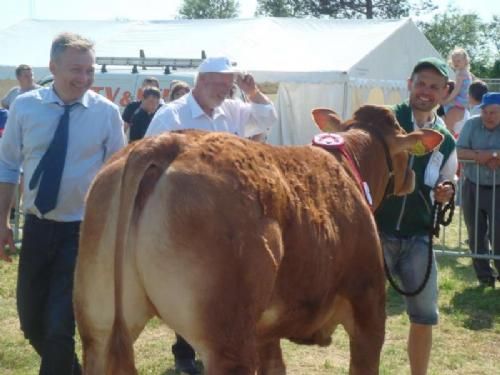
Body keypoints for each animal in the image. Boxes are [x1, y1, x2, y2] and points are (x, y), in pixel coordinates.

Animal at [73, 104, 442, 374]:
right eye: (407, 151)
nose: (412, 177)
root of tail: (164, 143)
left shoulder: (266, 333)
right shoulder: (369, 310)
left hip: (99, 328)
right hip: (226, 340)